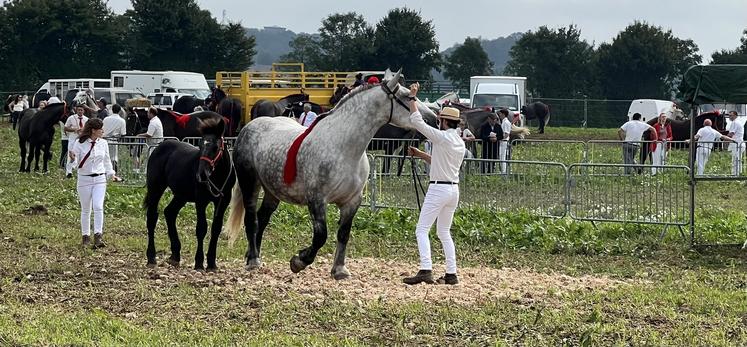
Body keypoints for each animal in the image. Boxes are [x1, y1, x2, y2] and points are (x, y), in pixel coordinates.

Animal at [141, 113, 232, 270]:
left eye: (215, 147)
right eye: (200, 145)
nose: (201, 175)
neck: (217, 176)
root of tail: (160, 147)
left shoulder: (223, 201)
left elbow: (216, 228)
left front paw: (212, 263)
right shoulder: (201, 200)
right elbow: (201, 228)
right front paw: (199, 262)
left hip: (181, 195)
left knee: (170, 212)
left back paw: (175, 255)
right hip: (156, 188)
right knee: (152, 217)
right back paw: (152, 257)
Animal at [228, 69, 438, 282]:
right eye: (408, 96)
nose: (434, 120)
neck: (343, 148)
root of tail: (249, 127)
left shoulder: (352, 201)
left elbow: (343, 234)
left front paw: (339, 270)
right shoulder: (317, 200)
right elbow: (321, 236)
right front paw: (299, 261)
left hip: (273, 190)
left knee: (262, 218)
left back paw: (253, 254)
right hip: (249, 182)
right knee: (251, 219)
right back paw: (253, 260)